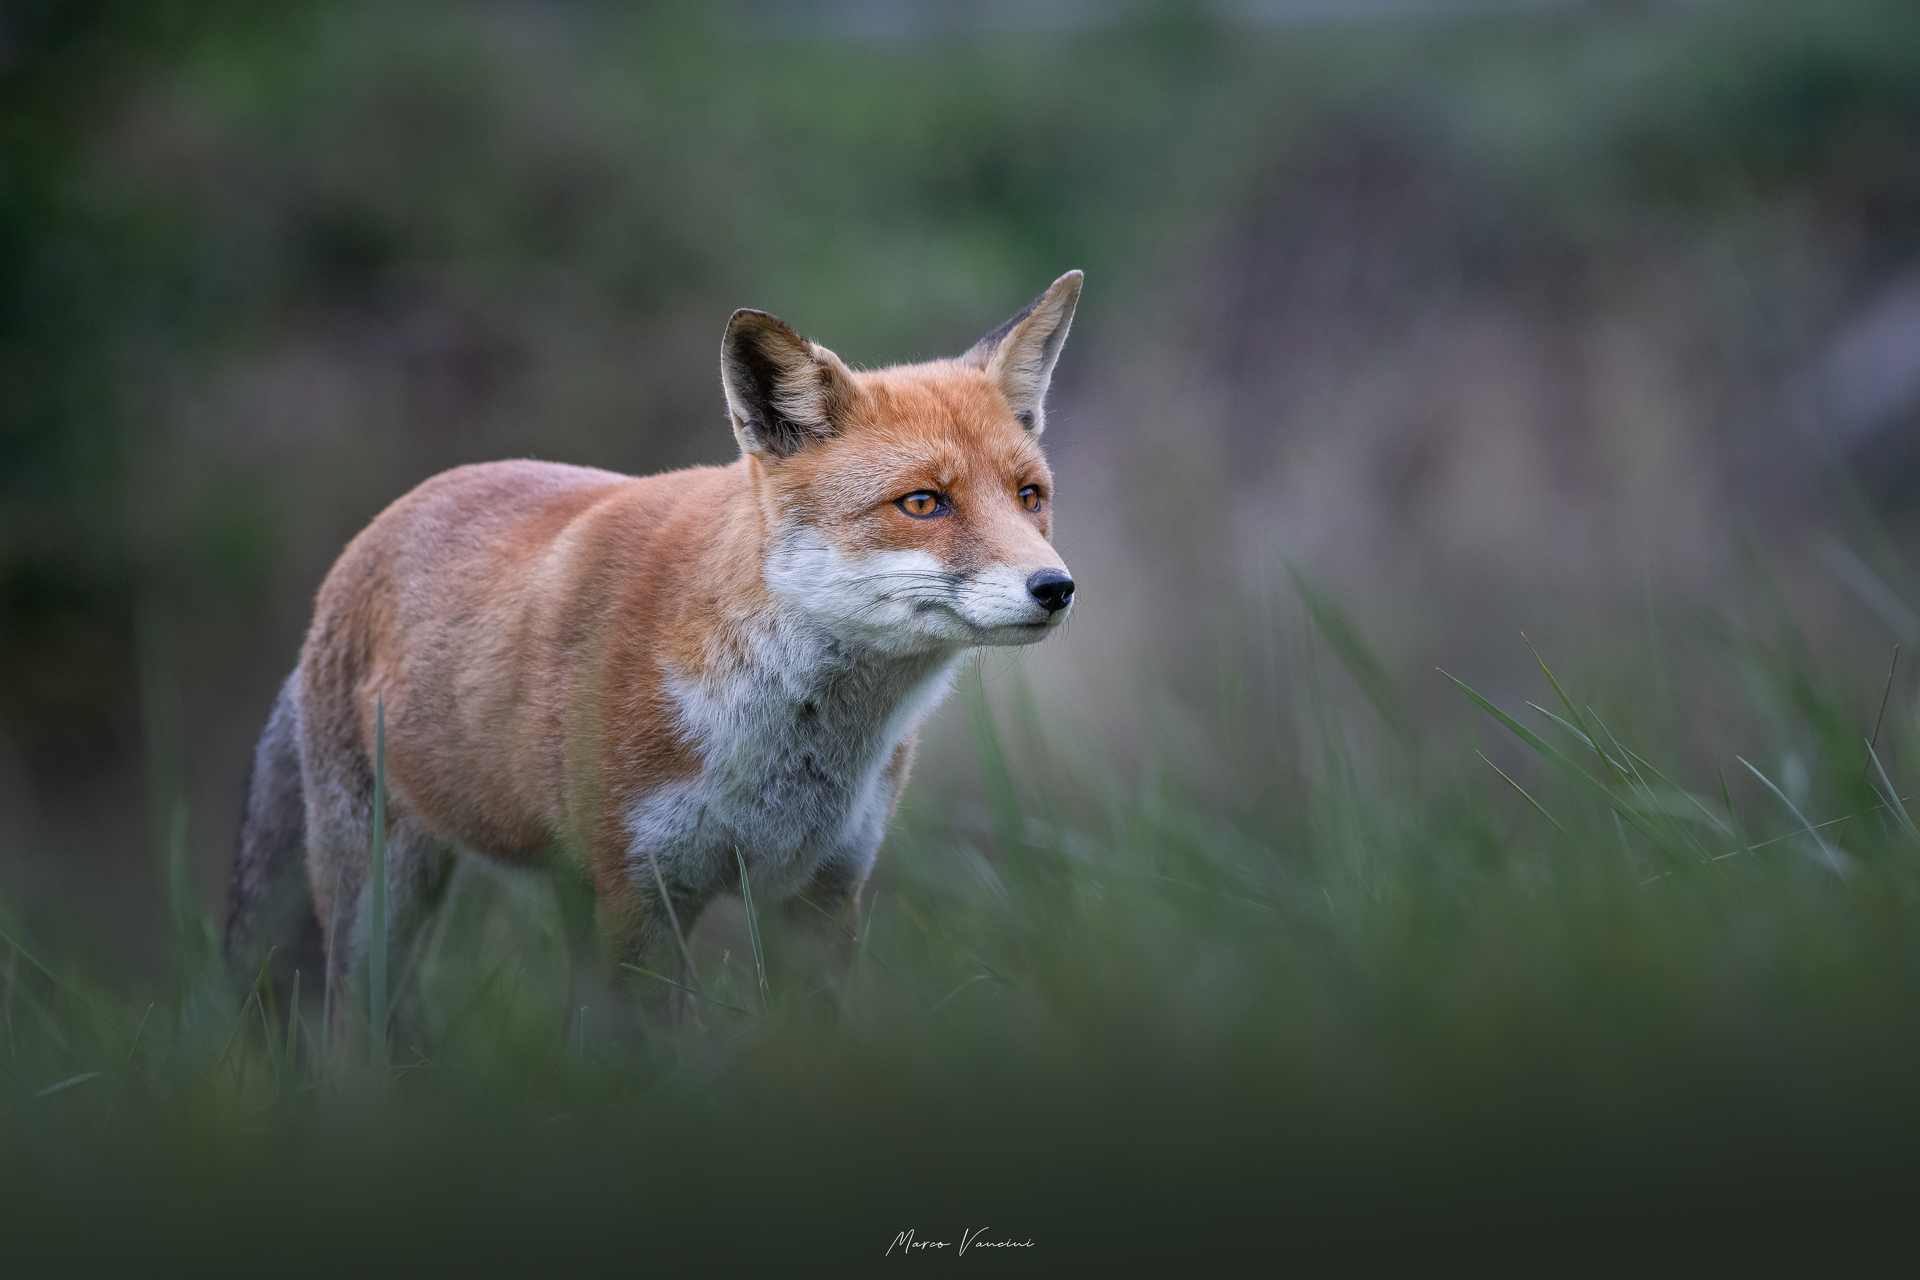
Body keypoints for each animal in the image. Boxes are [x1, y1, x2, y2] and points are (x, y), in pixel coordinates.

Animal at [223, 270, 1083, 1036]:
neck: (790, 746)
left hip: (565, 894)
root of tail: (360, 548)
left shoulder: (820, 891)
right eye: (924, 503)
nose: (1056, 587)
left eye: (1029, 497)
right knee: (348, 1037)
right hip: (383, 902)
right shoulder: (643, 896)